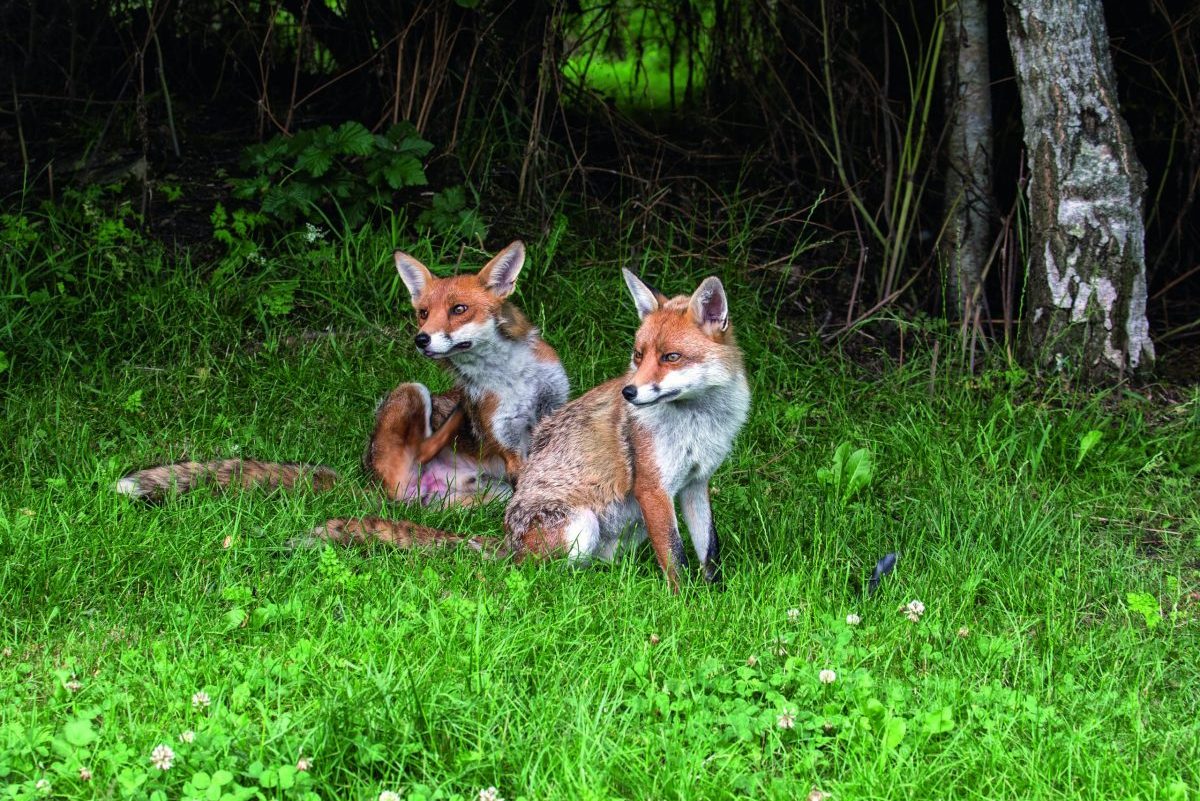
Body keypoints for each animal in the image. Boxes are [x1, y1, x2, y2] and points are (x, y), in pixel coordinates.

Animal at [115, 241, 569, 506]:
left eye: (459, 309)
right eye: (423, 312)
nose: (421, 339)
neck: (514, 378)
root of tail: (367, 482)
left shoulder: (553, 408)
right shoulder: (504, 439)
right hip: (410, 391)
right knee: (421, 449)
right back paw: (452, 420)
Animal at [311, 269, 751, 590]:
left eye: (671, 357)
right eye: (639, 355)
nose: (629, 392)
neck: (699, 422)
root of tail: (507, 541)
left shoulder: (695, 483)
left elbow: (708, 550)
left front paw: (715, 595)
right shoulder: (653, 488)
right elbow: (675, 558)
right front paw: (686, 605)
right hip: (579, 526)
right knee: (538, 572)